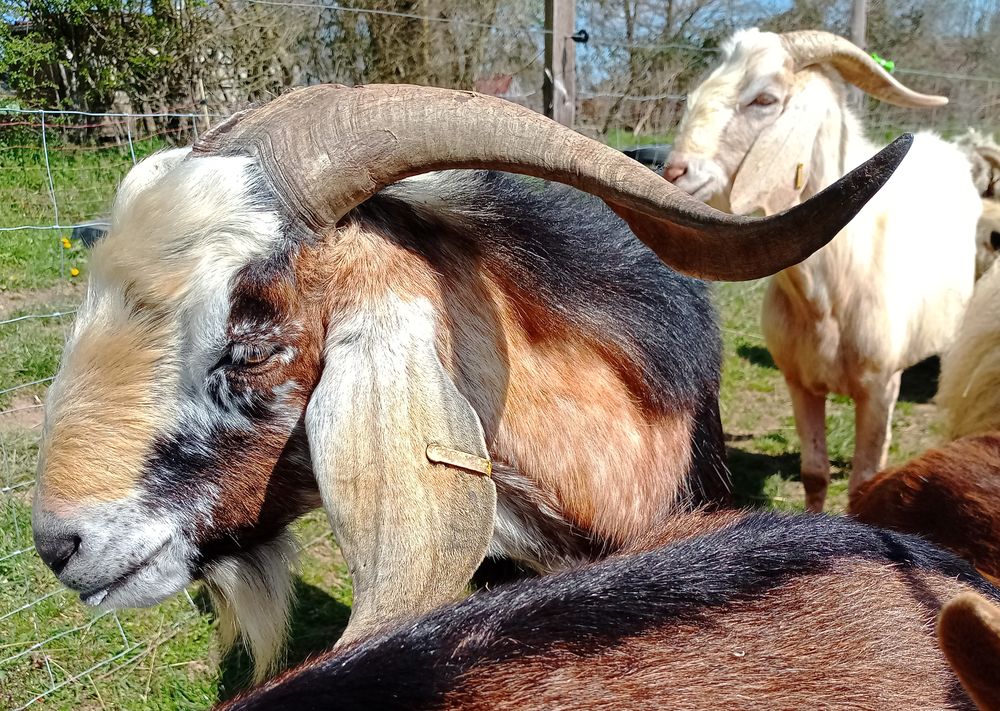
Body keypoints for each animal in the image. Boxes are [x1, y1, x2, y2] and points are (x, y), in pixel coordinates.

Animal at [665, 29, 982, 511]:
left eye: (764, 99)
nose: (674, 171)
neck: (830, 293)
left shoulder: (880, 387)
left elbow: (864, 480)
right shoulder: (799, 382)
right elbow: (814, 472)